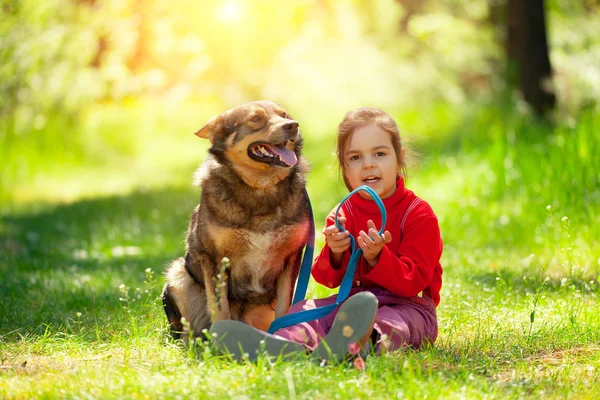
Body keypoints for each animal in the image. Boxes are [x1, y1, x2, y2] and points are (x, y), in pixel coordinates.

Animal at [162, 101, 312, 340]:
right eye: (255, 119)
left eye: (285, 115)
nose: (293, 125)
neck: (260, 188)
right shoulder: (214, 259)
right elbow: (220, 309)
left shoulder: (291, 257)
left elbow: (284, 309)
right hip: (177, 276)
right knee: (187, 332)